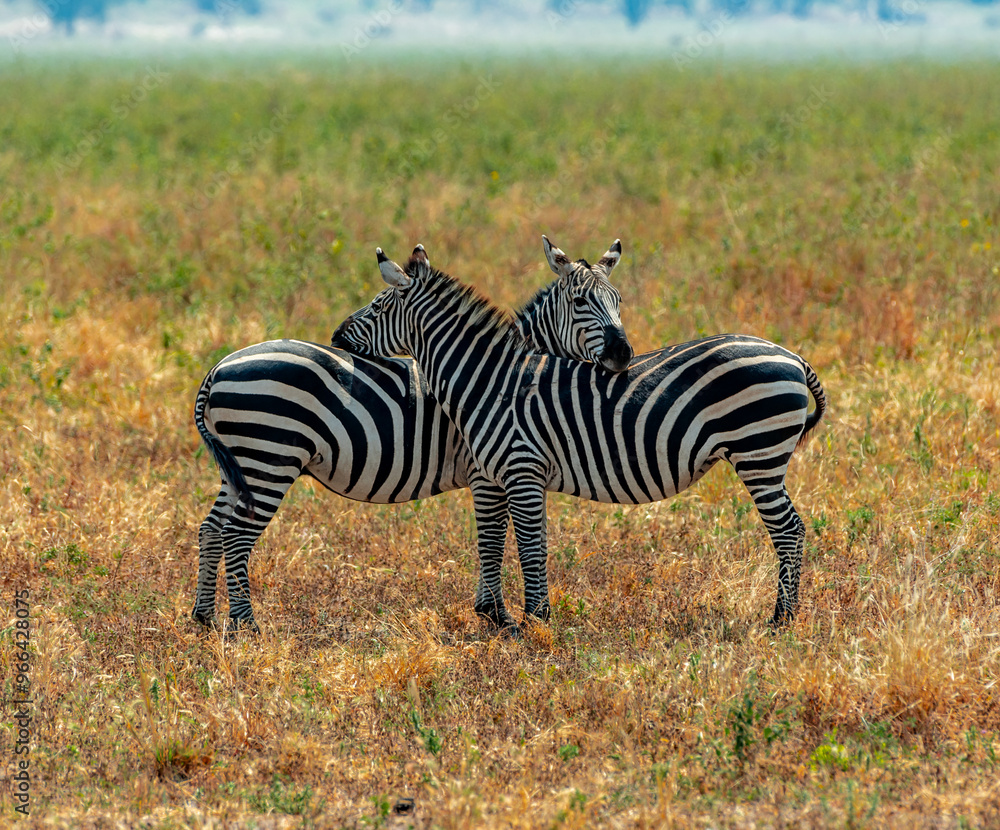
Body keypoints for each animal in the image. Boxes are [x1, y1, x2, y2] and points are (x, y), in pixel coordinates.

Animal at [192, 238, 632, 633]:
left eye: (618, 301)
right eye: (580, 302)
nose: (622, 354)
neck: (502, 375)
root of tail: (219, 367)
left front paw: (493, 612)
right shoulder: (488, 474)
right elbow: (495, 537)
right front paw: (497, 617)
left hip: (240, 465)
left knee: (212, 529)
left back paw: (205, 617)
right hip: (269, 457)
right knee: (236, 535)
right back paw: (246, 626)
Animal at [331, 247, 828, 628]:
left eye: (378, 307)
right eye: (580, 301)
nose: (335, 336)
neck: (488, 380)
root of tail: (791, 355)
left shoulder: (518, 470)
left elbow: (526, 547)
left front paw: (533, 623)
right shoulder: (505, 476)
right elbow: (510, 542)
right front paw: (511, 619)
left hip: (759, 454)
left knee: (789, 530)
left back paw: (781, 620)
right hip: (763, 456)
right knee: (791, 529)